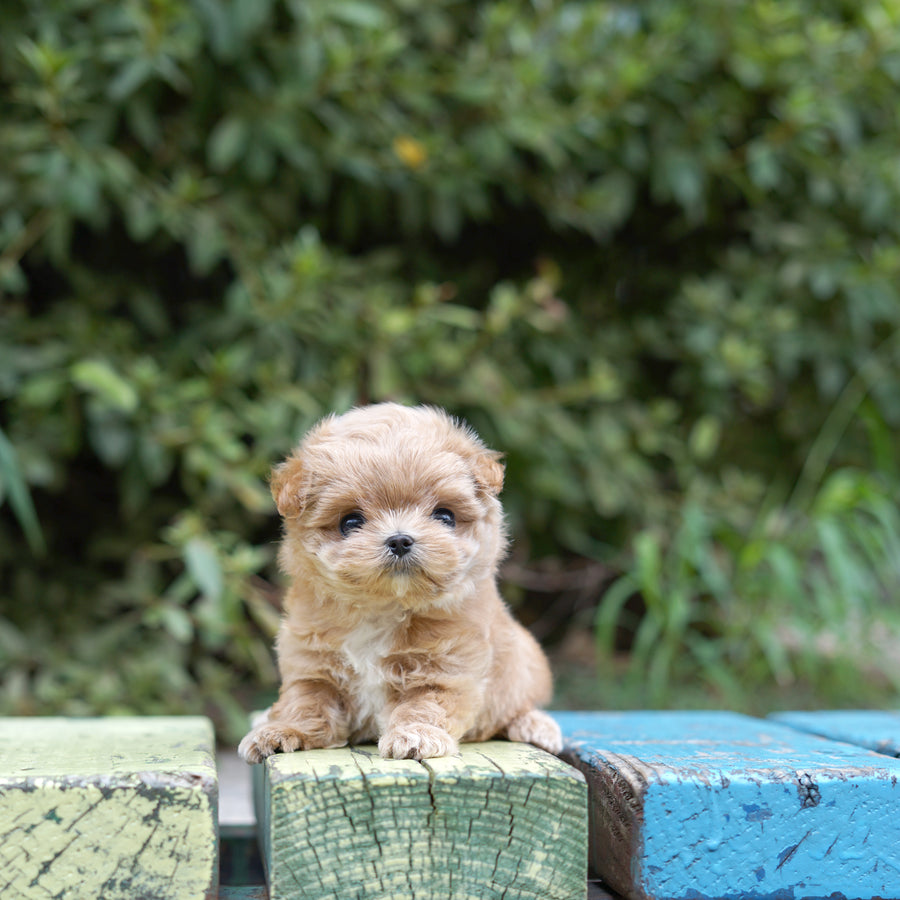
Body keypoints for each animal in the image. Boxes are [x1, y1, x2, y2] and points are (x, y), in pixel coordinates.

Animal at [239, 404, 564, 764]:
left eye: (445, 516)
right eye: (350, 522)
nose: (399, 540)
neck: (384, 607)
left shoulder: (445, 671)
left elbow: (424, 705)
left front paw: (415, 736)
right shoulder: (313, 668)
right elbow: (306, 704)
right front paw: (281, 730)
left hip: (526, 666)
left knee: (519, 705)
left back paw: (536, 726)